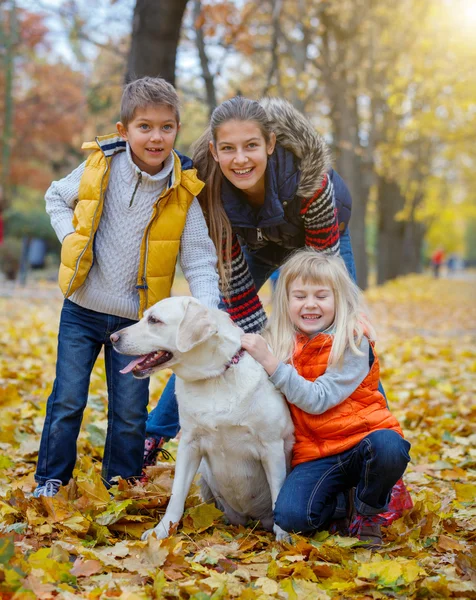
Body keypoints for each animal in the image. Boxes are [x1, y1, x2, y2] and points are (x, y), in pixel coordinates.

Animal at [113, 298, 296, 540]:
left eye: (154, 320)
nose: (112, 338)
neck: (214, 377)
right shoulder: (189, 445)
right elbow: (177, 493)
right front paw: (162, 530)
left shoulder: (272, 446)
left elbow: (278, 495)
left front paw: (284, 537)